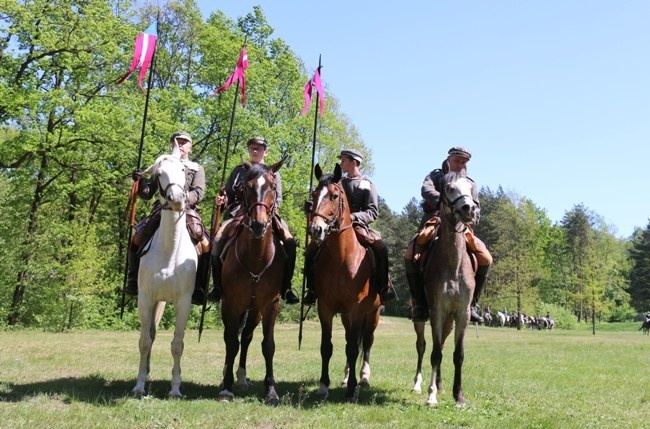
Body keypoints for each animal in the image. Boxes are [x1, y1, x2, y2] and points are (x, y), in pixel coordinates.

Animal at [130, 141, 195, 398]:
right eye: (159, 174)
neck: (170, 250)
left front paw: (176, 388)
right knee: (150, 333)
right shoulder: (146, 298)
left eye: (183, 170)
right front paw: (139, 384)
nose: (176, 197)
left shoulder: (184, 302)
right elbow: (144, 341)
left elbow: (178, 344)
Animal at [216, 158, 284, 404]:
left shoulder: (270, 305)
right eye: (247, 188)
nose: (258, 224)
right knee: (233, 338)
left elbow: (268, 345)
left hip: (254, 310)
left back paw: (242, 378)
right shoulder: (230, 303)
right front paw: (226, 388)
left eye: (272, 188)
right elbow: (230, 341)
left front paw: (271, 391)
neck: (255, 257)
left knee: (246, 337)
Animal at [308, 162, 380, 400]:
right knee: (351, 339)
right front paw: (324, 386)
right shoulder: (326, 308)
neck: (341, 257)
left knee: (366, 343)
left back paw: (363, 378)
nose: (316, 229)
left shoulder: (357, 309)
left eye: (334, 195)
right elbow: (327, 346)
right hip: (347, 316)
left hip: (373, 314)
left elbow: (354, 348)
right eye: (314, 194)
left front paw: (351, 391)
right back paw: (348, 376)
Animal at [412, 167, 478, 404]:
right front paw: (431, 396)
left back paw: (440, 385)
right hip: (421, 317)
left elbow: (457, 354)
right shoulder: (437, 311)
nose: (469, 208)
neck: (453, 264)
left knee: (439, 345)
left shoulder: (462, 314)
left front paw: (458, 395)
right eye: (449, 188)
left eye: (471, 189)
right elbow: (434, 353)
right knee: (423, 346)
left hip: (449, 321)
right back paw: (418, 385)